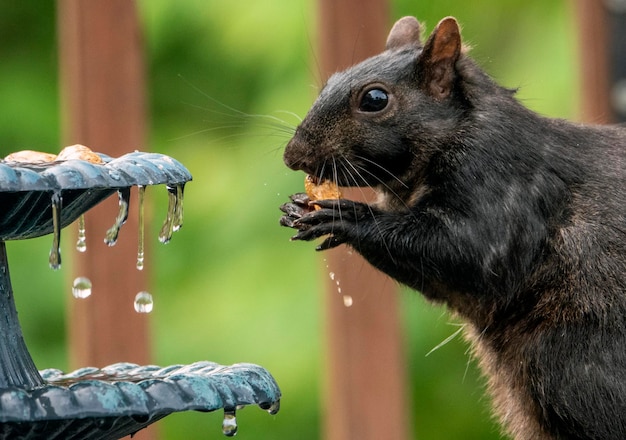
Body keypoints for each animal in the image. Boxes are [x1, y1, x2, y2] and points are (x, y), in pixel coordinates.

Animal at [280, 14, 624, 440]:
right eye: (329, 81)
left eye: (375, 99)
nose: (293, 155)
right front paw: (295, 206)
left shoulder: (501, 183)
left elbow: (467, 255)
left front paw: (346, 216)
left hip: (578, 371)